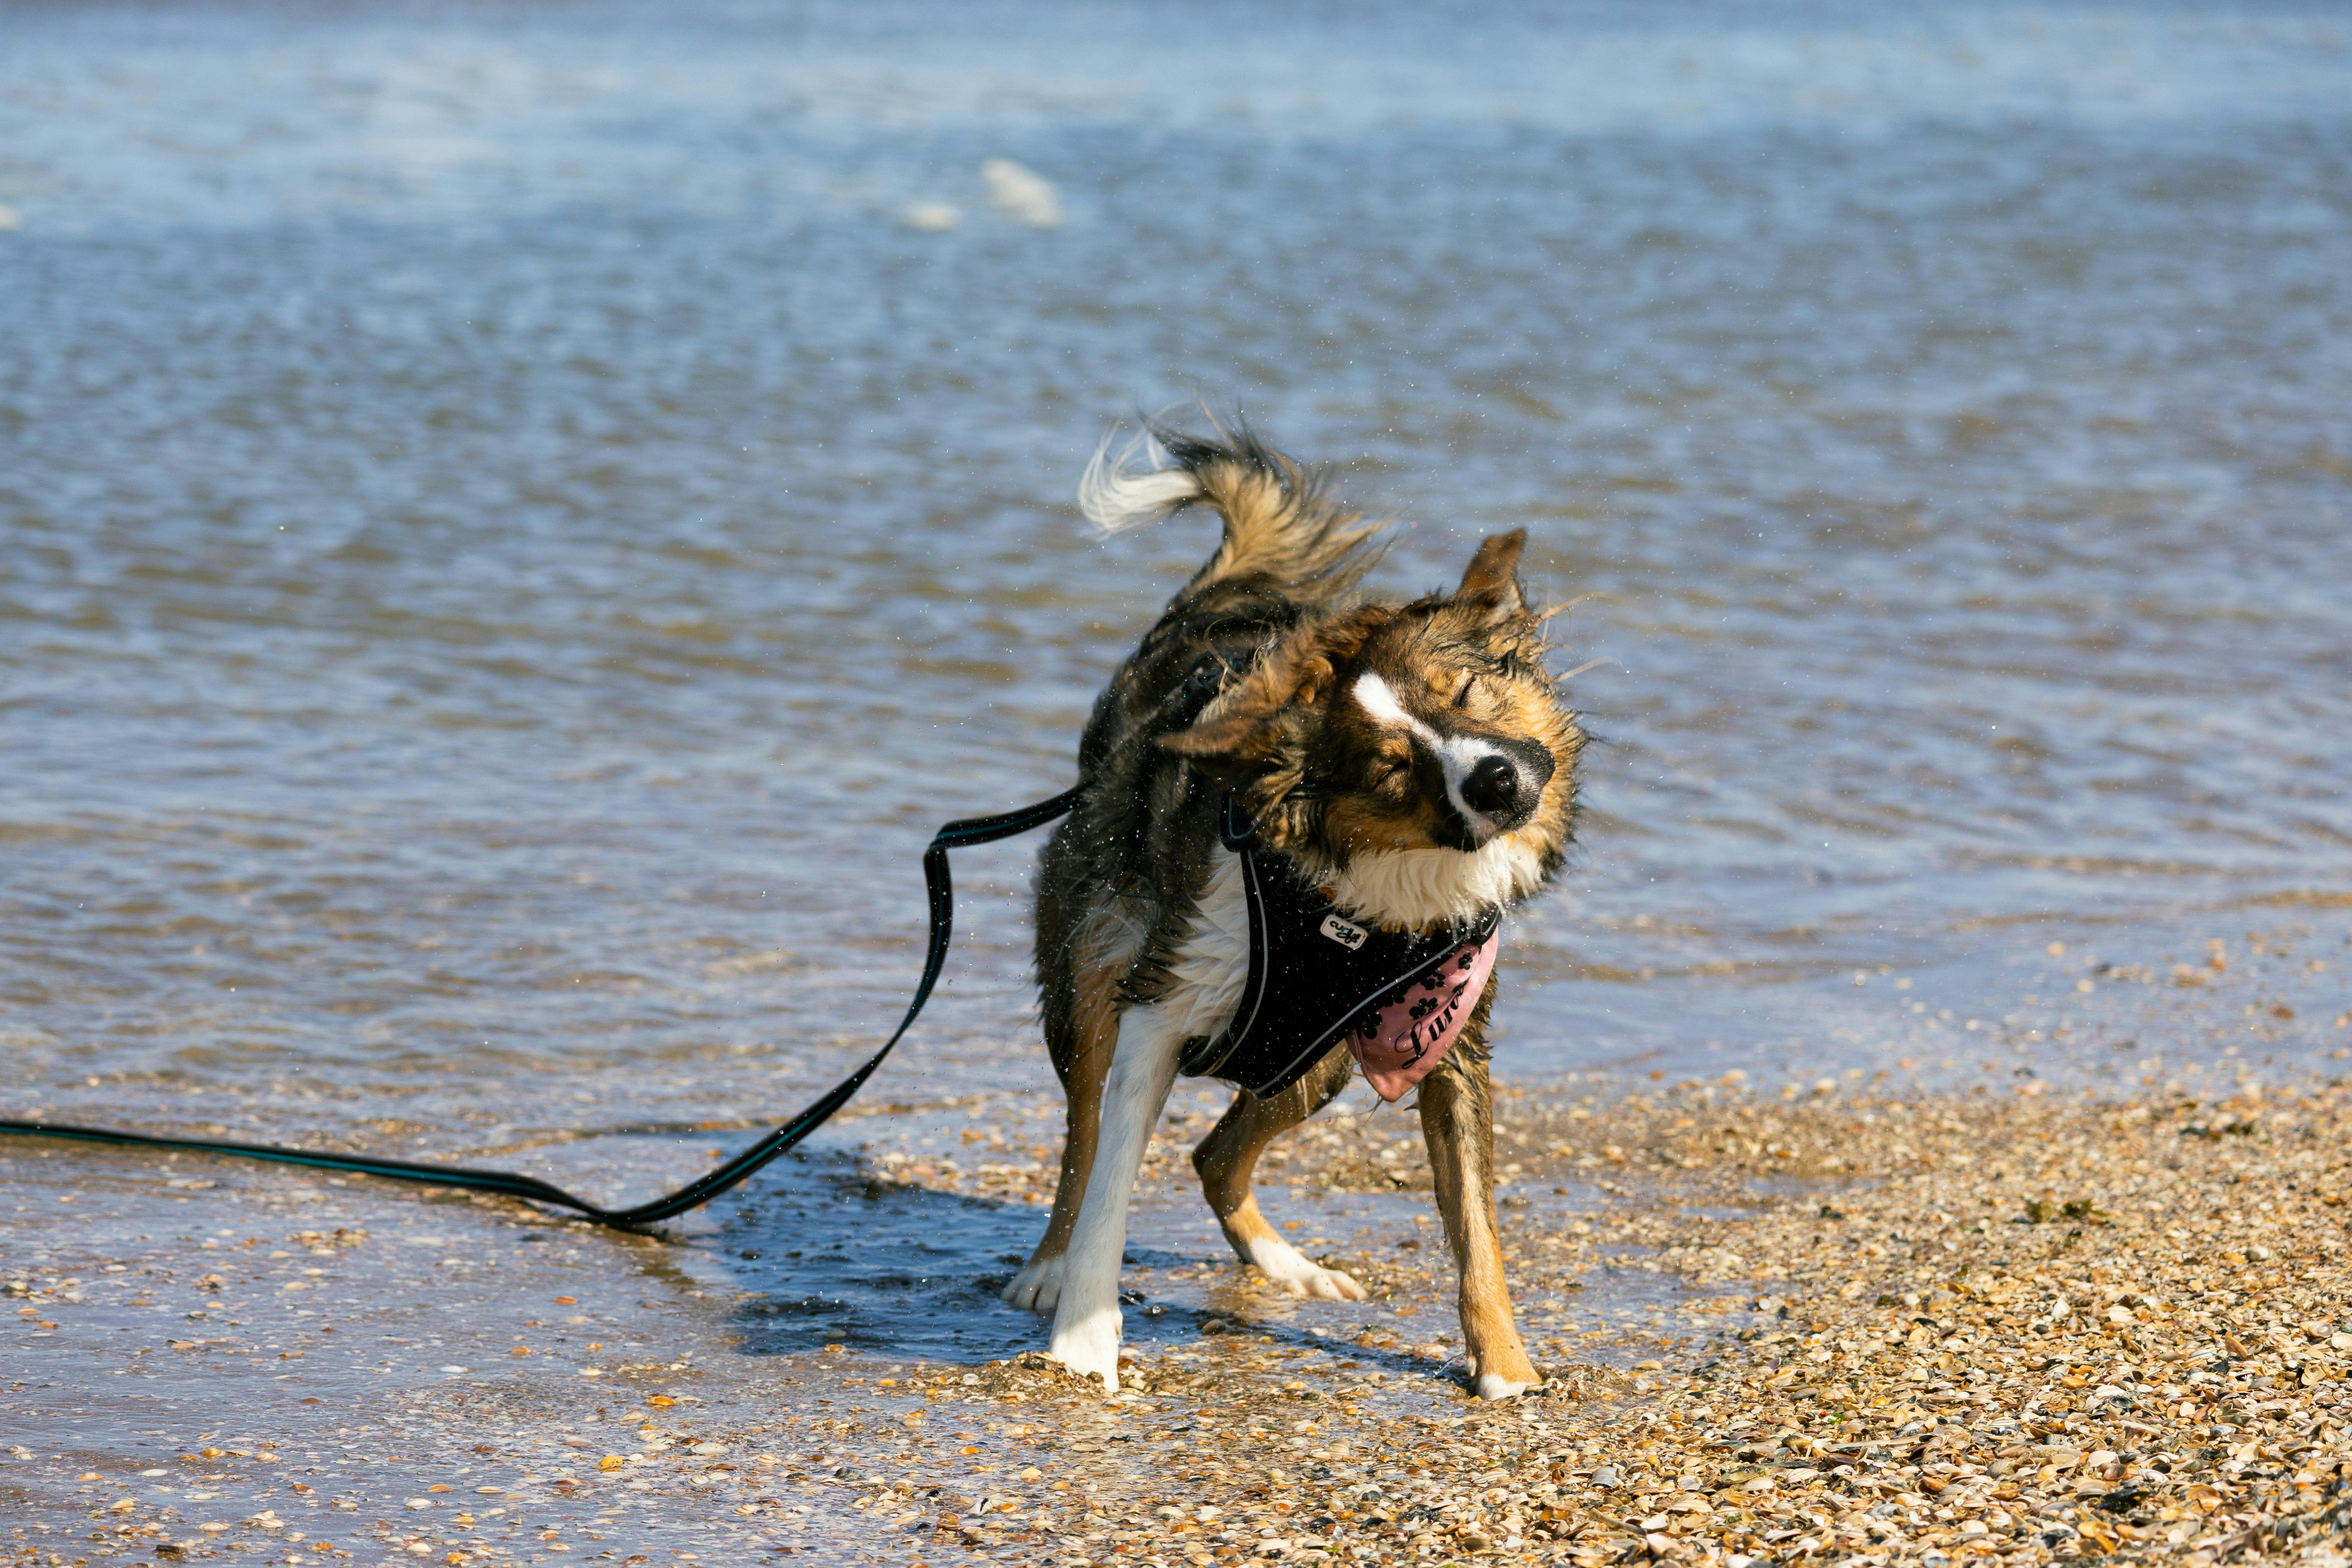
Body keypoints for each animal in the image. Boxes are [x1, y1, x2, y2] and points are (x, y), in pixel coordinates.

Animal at [1002, 425, 1590, 1401]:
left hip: (1324, 1056)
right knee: (1083, 1132)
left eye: (1466, 695)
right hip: (1091, 959)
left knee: (1213, 1156)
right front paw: (1083, 1341)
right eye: (1390, 766)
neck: (1357, 903)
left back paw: (1287, 1265)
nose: (1499, 780)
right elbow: (1111, 1177)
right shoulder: (1161, 998)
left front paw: (1506, 1369)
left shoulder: (1444, 1032)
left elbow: (1476, 1223)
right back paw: (1047, 1266)